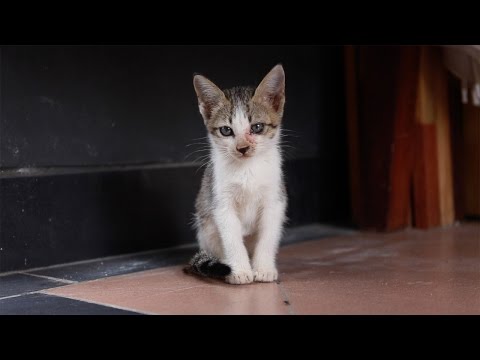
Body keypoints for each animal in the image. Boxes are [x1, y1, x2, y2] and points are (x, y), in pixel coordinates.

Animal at [185, 64, 286, 284]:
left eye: (257, 127)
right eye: (226, 130)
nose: (242, 148)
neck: (247, 169)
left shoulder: (274, 200)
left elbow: (268, 236)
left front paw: (263, 268)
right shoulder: (221, 202)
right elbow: (231, 238)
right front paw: (239, 270)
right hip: (206, 227)